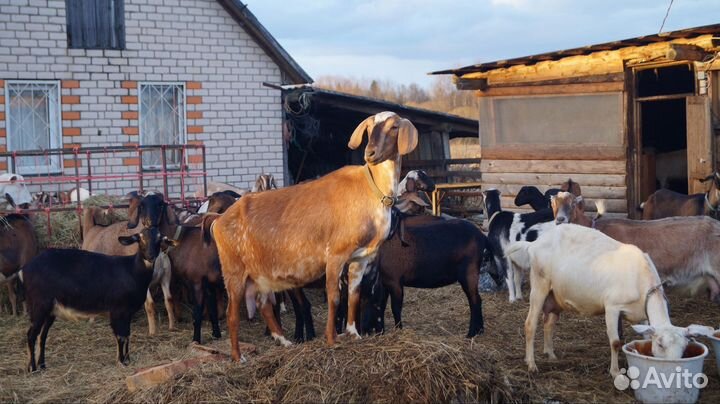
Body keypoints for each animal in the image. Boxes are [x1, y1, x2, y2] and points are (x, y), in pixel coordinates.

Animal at [14, 224, 172, 372]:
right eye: (140, 238)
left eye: (159, 239)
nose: (151, 256)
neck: (132, 271)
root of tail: (23, 270)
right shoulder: (118, 310)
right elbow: (120, 336)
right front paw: (121, 361)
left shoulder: (127, 312)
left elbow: (127, 335)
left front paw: (127, 360)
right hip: (39, 305)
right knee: (31, 334)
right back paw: (32, 368)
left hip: (50, 310)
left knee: (42, 336)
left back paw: (42, 365)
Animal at [204, 111, 418, 360]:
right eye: (368, 129)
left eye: (394, 127)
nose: (370, 153)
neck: (372, 189)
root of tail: (219, 219)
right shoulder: (335, 254)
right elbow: (334, 297)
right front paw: (331, 340)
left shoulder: (361, 257)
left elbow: (354, 295)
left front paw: (354, 334)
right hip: (233, 269)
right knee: (232, 313)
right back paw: (239, 357)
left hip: (261, 273)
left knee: (263, 304)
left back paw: (285, 342)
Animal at [505, 223, 714, 377]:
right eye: (661, 345)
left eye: (684, 347)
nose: (676, 368)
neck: (639, 279)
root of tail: (534, 244)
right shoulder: (612, 307)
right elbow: (615, 341)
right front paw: (615, 372)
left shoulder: (642, 314)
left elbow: (642, 339)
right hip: (539, 284)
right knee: (530, 324)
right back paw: (531, 364)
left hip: (555, 294)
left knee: (549, 322)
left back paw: (551, 354)